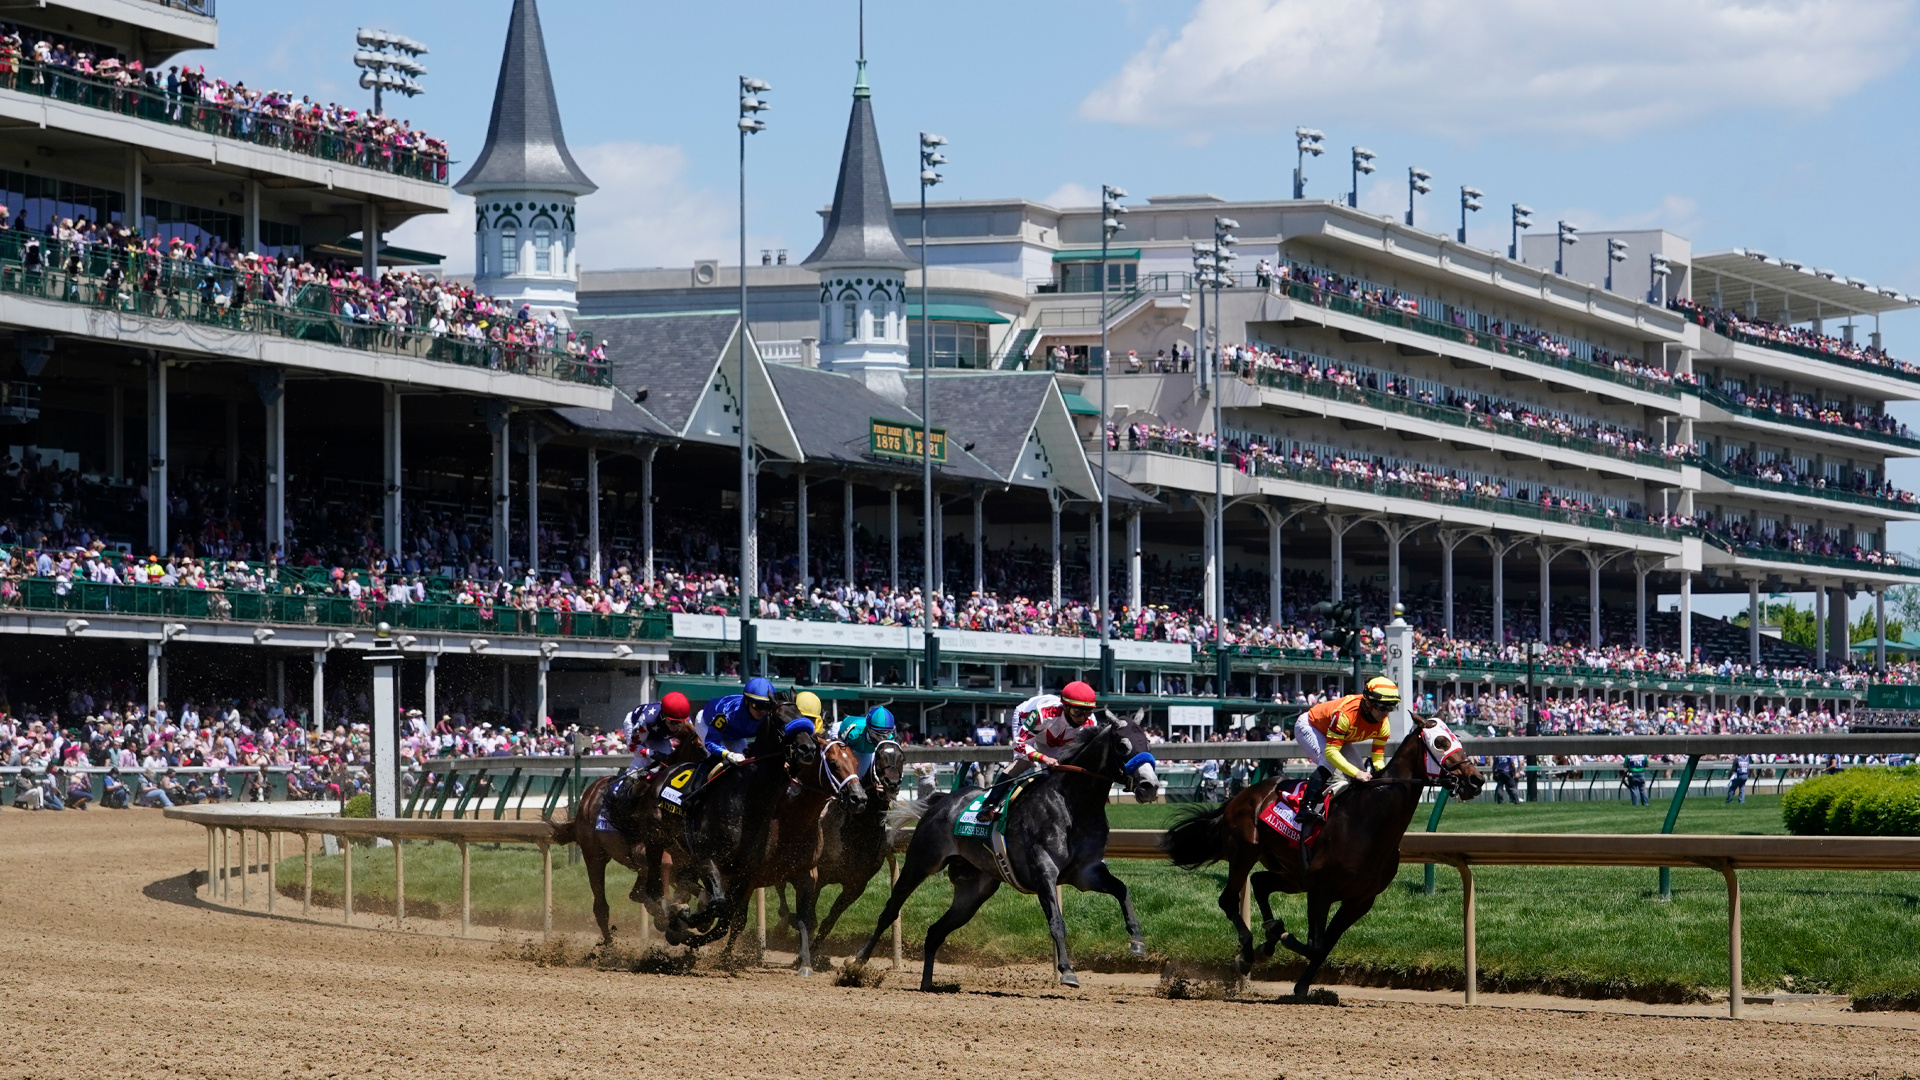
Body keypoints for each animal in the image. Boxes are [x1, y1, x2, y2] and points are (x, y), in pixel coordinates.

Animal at [852, 711, 1152, 991]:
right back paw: (856, 964)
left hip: (974, 890)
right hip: (921, 862)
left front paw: (1137, 941)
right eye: (1123, 745)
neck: (1073, 805)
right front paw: (1067, 971)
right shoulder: (1044, 871)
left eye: (1147, 742)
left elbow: (1122, 890)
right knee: (890, 910)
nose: (1149, 786)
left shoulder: (1086, 872)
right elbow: (1057, 922)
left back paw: (928, 984)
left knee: (935, 932)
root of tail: (940, 802)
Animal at [1152, 714, 1482, 991]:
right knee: (1229, 898)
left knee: (1259, 882)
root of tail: (1242, 795)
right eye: (1441, 742)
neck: (1369, 820)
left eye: (1457, 739)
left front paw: (1299, 984)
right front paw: (1279, 938)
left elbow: (1324, 947)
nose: (1475, 780)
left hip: (1292, 874)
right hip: (1245, 852)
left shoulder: (1359, 900)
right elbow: (1314, 944)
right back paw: (1248, 951)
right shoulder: (1321, 890)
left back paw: (1265, 940)